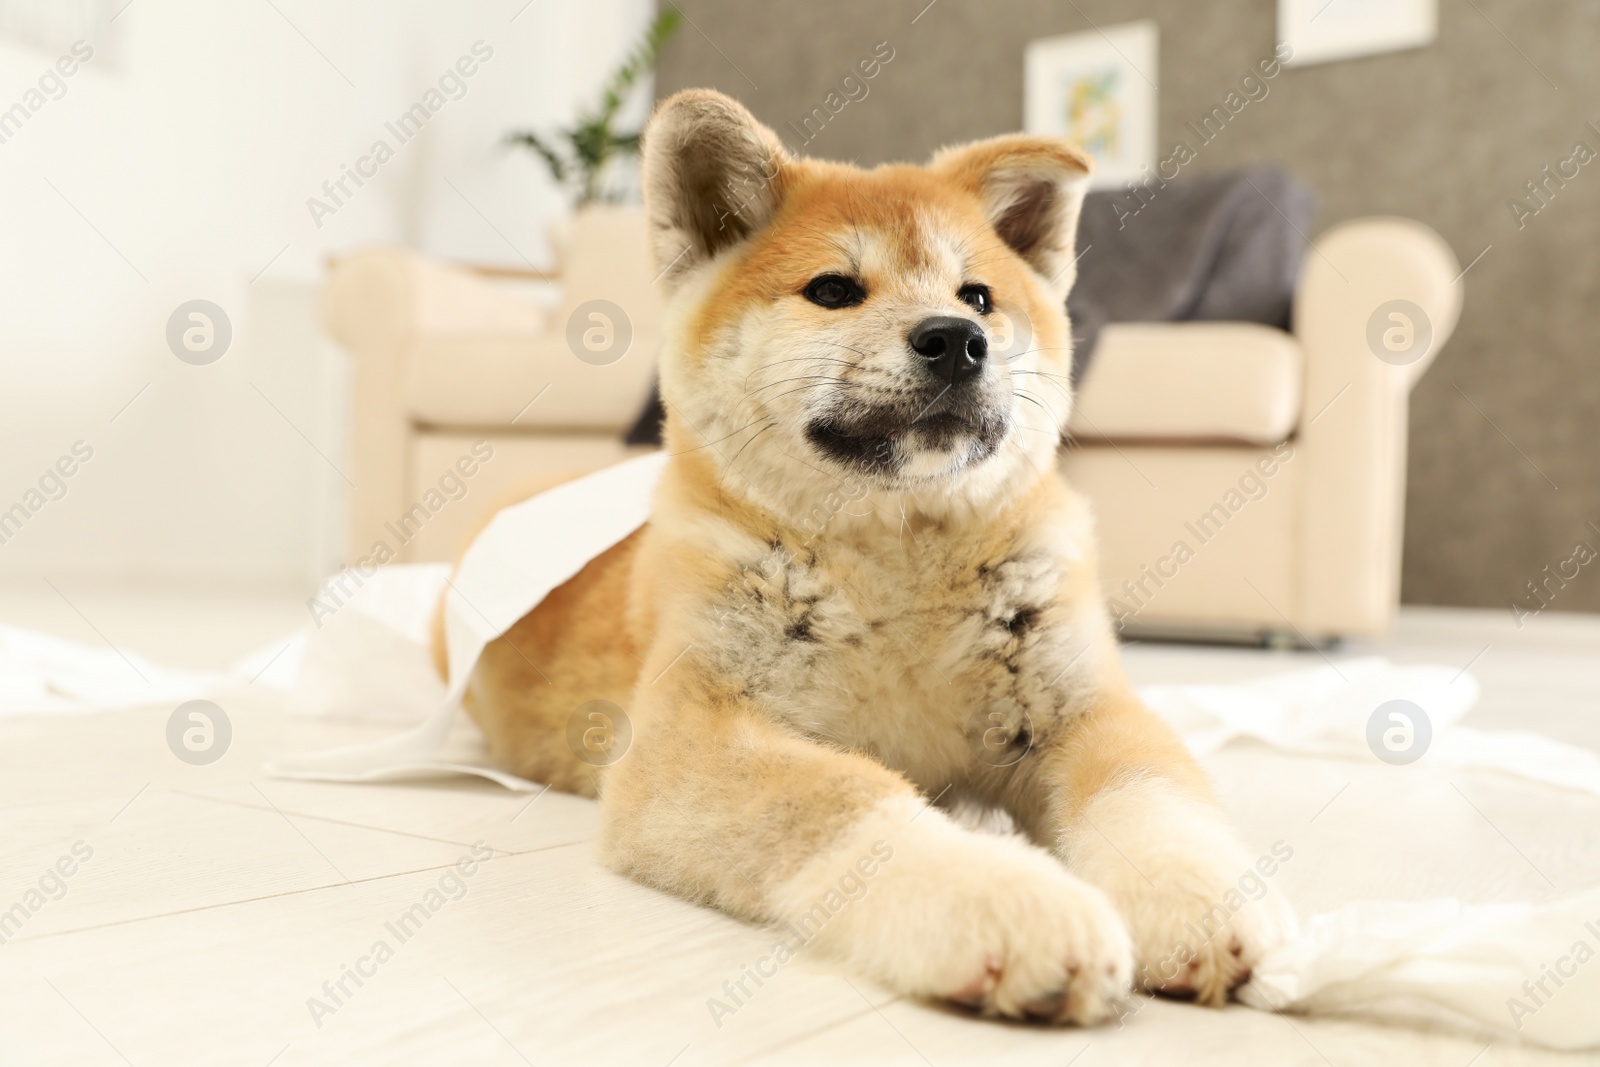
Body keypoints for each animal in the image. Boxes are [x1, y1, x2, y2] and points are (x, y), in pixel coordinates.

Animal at [454, 87, 1299, 1023]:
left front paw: (1198, 898)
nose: (956, 338)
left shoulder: (1081, 707)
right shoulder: (687, 741)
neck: (899, 568)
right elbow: (852, 799)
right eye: (833, 290)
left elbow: (1148, 795)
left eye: (978, 295)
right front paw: (1008, 899)